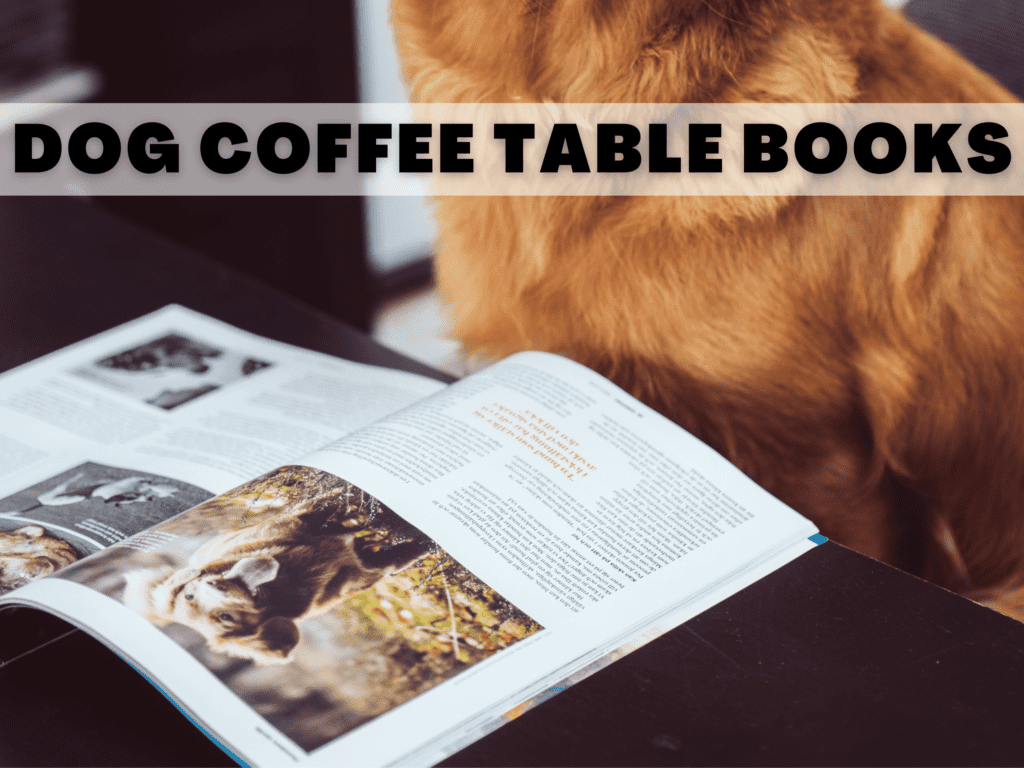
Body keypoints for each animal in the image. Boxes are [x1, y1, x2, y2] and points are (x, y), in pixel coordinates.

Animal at [121, 495, 430, 663]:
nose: (215, 585)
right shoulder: (354, 573)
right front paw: (420, 547)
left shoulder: (300, 520)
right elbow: (386, 562)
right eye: (226, 618)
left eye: (189, 594)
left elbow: (328, 502)